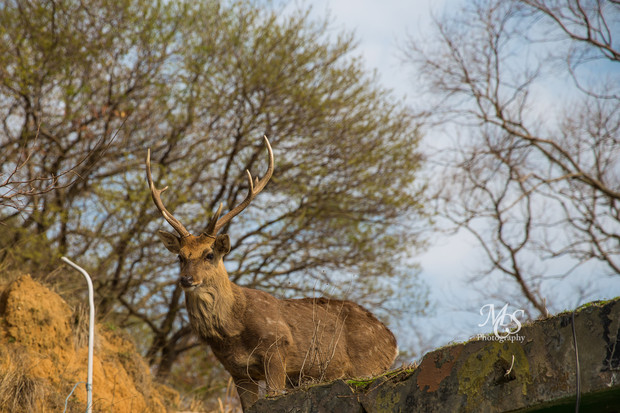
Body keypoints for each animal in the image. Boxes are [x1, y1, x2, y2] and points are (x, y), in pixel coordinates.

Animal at [145, 136, 398, 408]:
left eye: (209, 254)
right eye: (180, 257)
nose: (187, 279)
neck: (231, 332)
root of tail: (392, 341)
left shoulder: (277, 350)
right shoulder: (237, 370)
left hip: (368, 365)